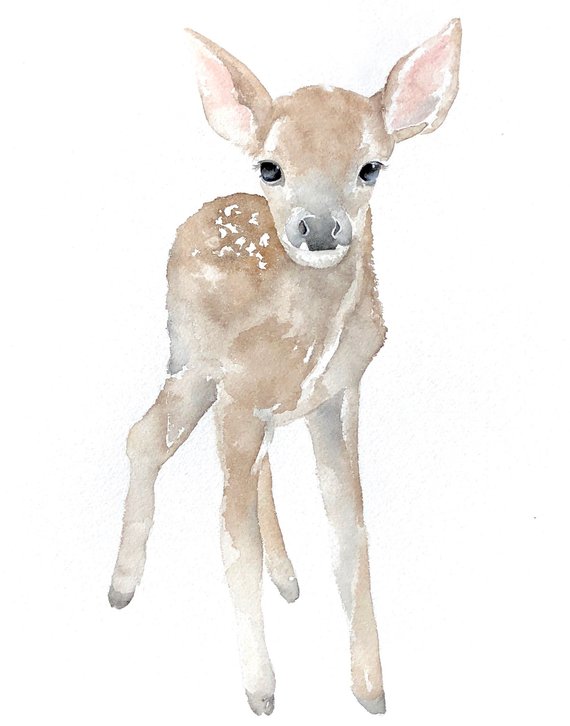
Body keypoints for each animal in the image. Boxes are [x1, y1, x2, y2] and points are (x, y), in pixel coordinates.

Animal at [108, 19, 462, 716]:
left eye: (371, 166)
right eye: (271, 166)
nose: (319, 229)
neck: (302, 342)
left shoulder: (339, 395)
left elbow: (351, 532)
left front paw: (370, 689)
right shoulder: (239, 396)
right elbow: (231, 540)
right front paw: (262, 690)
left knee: (253, 464)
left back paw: (289, 579)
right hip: (193, 361)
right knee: (145, 437)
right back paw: (123, 587)